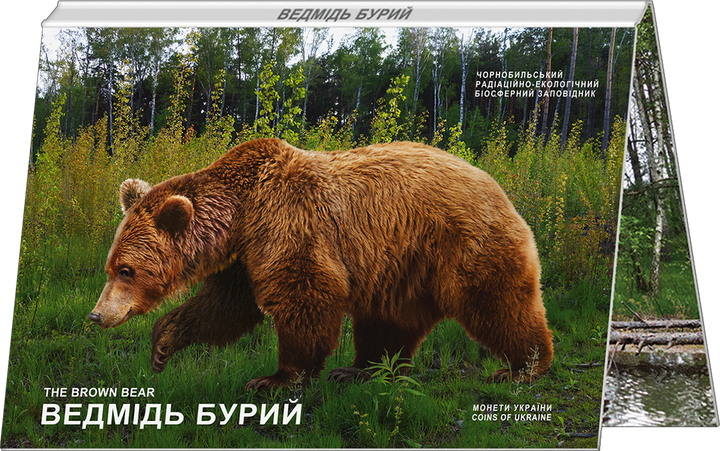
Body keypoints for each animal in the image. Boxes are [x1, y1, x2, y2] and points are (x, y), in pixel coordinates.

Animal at [88, 138, 553, 390]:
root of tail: (495, 183)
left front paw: (274, 379)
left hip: (461, 243)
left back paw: (522, 367)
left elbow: (305, 296)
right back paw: (359, 371)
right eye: (110, 267)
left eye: (127, 270)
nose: (96, 315)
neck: (240, 214)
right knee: (388, 321)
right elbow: (223, 308)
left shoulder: (288, 226)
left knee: (497, 302)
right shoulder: (245, 257)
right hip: (402, 267)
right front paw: (162, 344)